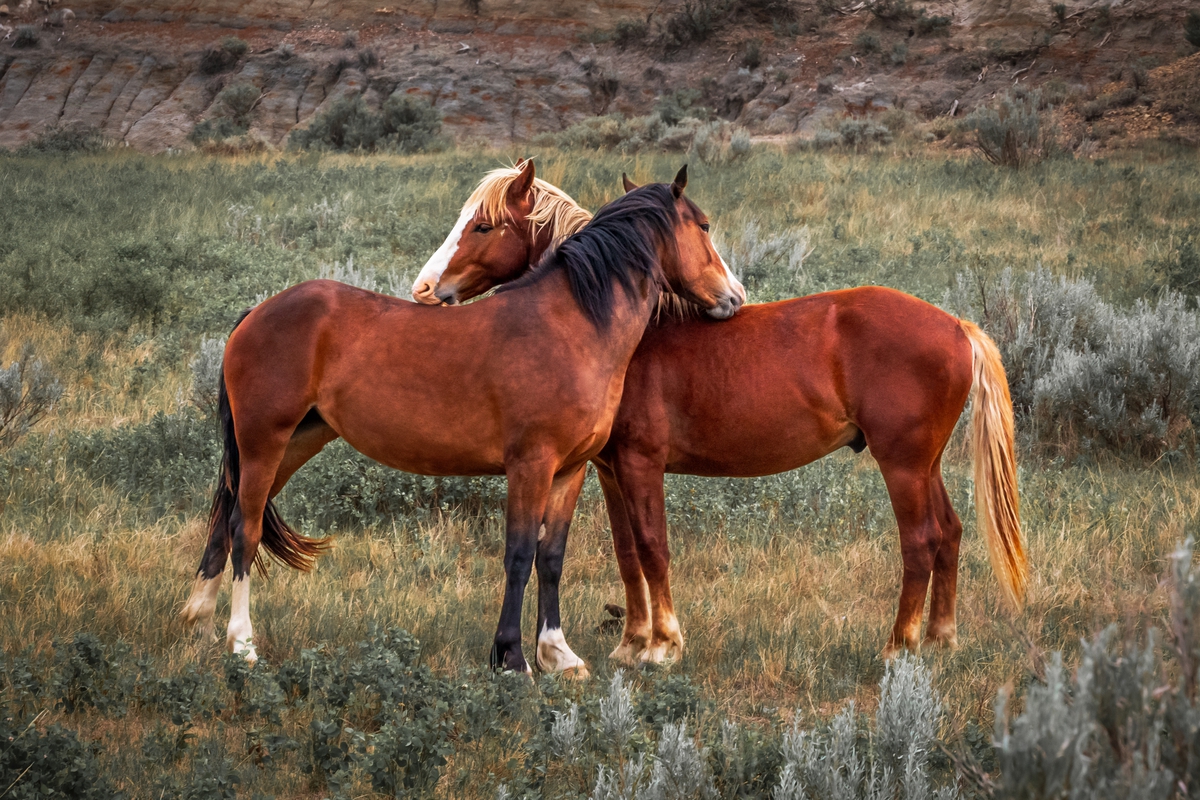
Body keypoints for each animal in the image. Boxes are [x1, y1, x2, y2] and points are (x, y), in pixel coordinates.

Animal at [180, 166, 744, 675]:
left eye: (484, 226)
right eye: (704, 226)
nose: (734, 296)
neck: (571, 325)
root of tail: (257, 313)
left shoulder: (570, 470)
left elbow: (551, 558)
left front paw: (559, 655)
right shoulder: (530, 466)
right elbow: (519, 555)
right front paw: (512, 658)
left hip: (293, 444)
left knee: (226, 517)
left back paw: (198, 623)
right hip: (263, 441)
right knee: (245, 528)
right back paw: (241, 643)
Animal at [412, 160, 1027, 664]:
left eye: (483, 226)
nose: (422, 289)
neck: (624, 329)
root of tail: (957, 326)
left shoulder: (641, 464)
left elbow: (653, 547)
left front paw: (663, 647)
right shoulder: (610, 471)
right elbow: (628, 552)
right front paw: (631, 644)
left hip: (902, 465)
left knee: (920, 541)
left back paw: (900, 646)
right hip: (926, 466)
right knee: (949, 532)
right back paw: (942, 639)